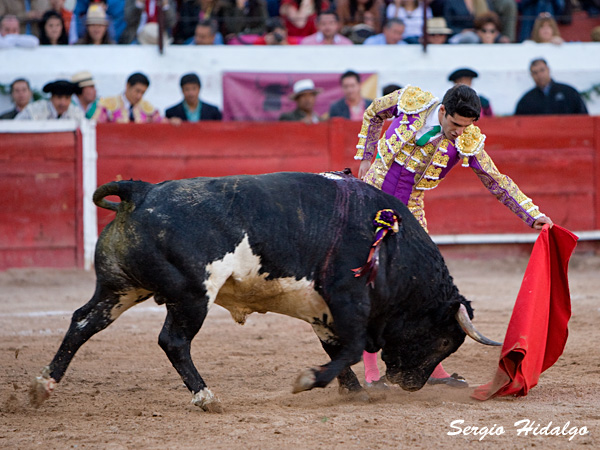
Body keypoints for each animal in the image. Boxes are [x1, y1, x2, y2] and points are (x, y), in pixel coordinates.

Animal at [30, 171, 500, 410]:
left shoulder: (323, 311)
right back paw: (206, 397)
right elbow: (348, 349)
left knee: (82, 323)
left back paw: (42, 387)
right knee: (173, 341)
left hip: (120, 288)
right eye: (445, 340)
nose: (411, 384)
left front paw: (353, 391)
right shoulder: (347, 298)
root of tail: (141, 192)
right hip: (191, 295)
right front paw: (309, 380)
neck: (389, 244)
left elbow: (338, 349)